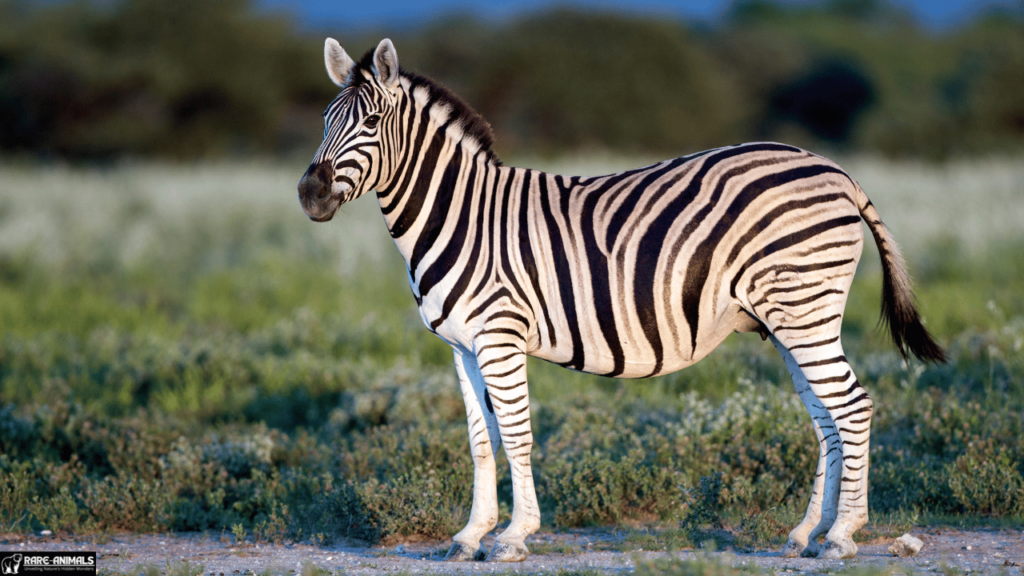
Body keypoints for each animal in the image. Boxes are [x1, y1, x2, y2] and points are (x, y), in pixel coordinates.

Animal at [296, 38, 942, 557]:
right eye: (324, 120)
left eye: (371, 123)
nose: (309, 194)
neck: (460, 215)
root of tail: (835, 170)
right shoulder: (461, 346)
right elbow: (481, 441)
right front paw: (470, 535)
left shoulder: (500, 335)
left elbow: (516, 433)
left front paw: (513, 537)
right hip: (788, 319)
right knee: (827, 419)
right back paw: (808, 532)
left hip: (804, 309)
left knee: (852, 407)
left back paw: (842, 536)